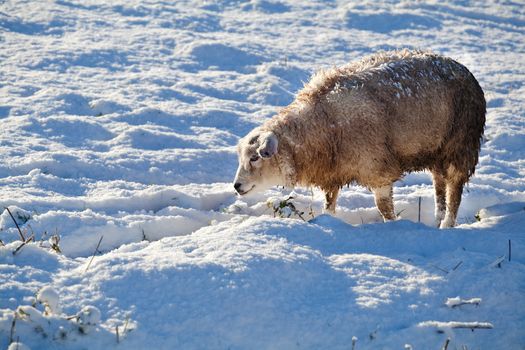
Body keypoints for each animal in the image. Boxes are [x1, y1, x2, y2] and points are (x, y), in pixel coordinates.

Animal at [231, 50, 486, 230]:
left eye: (255, 158)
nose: (236, 186)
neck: (321, 124)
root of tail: (465, 71)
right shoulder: (333, 171)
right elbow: (329, 203)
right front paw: (329, 221)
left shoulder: (376, 166)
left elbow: (384, 208)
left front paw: (395, 228)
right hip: (437, 150)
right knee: (439, 186)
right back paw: (437, 221)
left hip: (460, 145)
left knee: (454, 191)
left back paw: (447, 225)